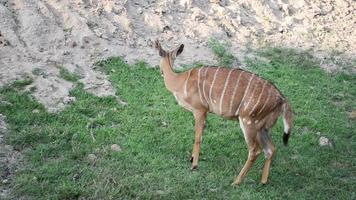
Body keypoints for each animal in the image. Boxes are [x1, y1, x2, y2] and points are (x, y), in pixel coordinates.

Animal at [154, 40, 294, 186]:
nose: (160, 72)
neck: (180, 82)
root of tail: (282, 100)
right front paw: (192, 160)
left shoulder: (200, 110)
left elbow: (198, 137)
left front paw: (194, 165)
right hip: (262, 127)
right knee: (271, 149)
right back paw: (263, 181)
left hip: (248, 122)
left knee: (255, 150)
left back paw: (236, 182)